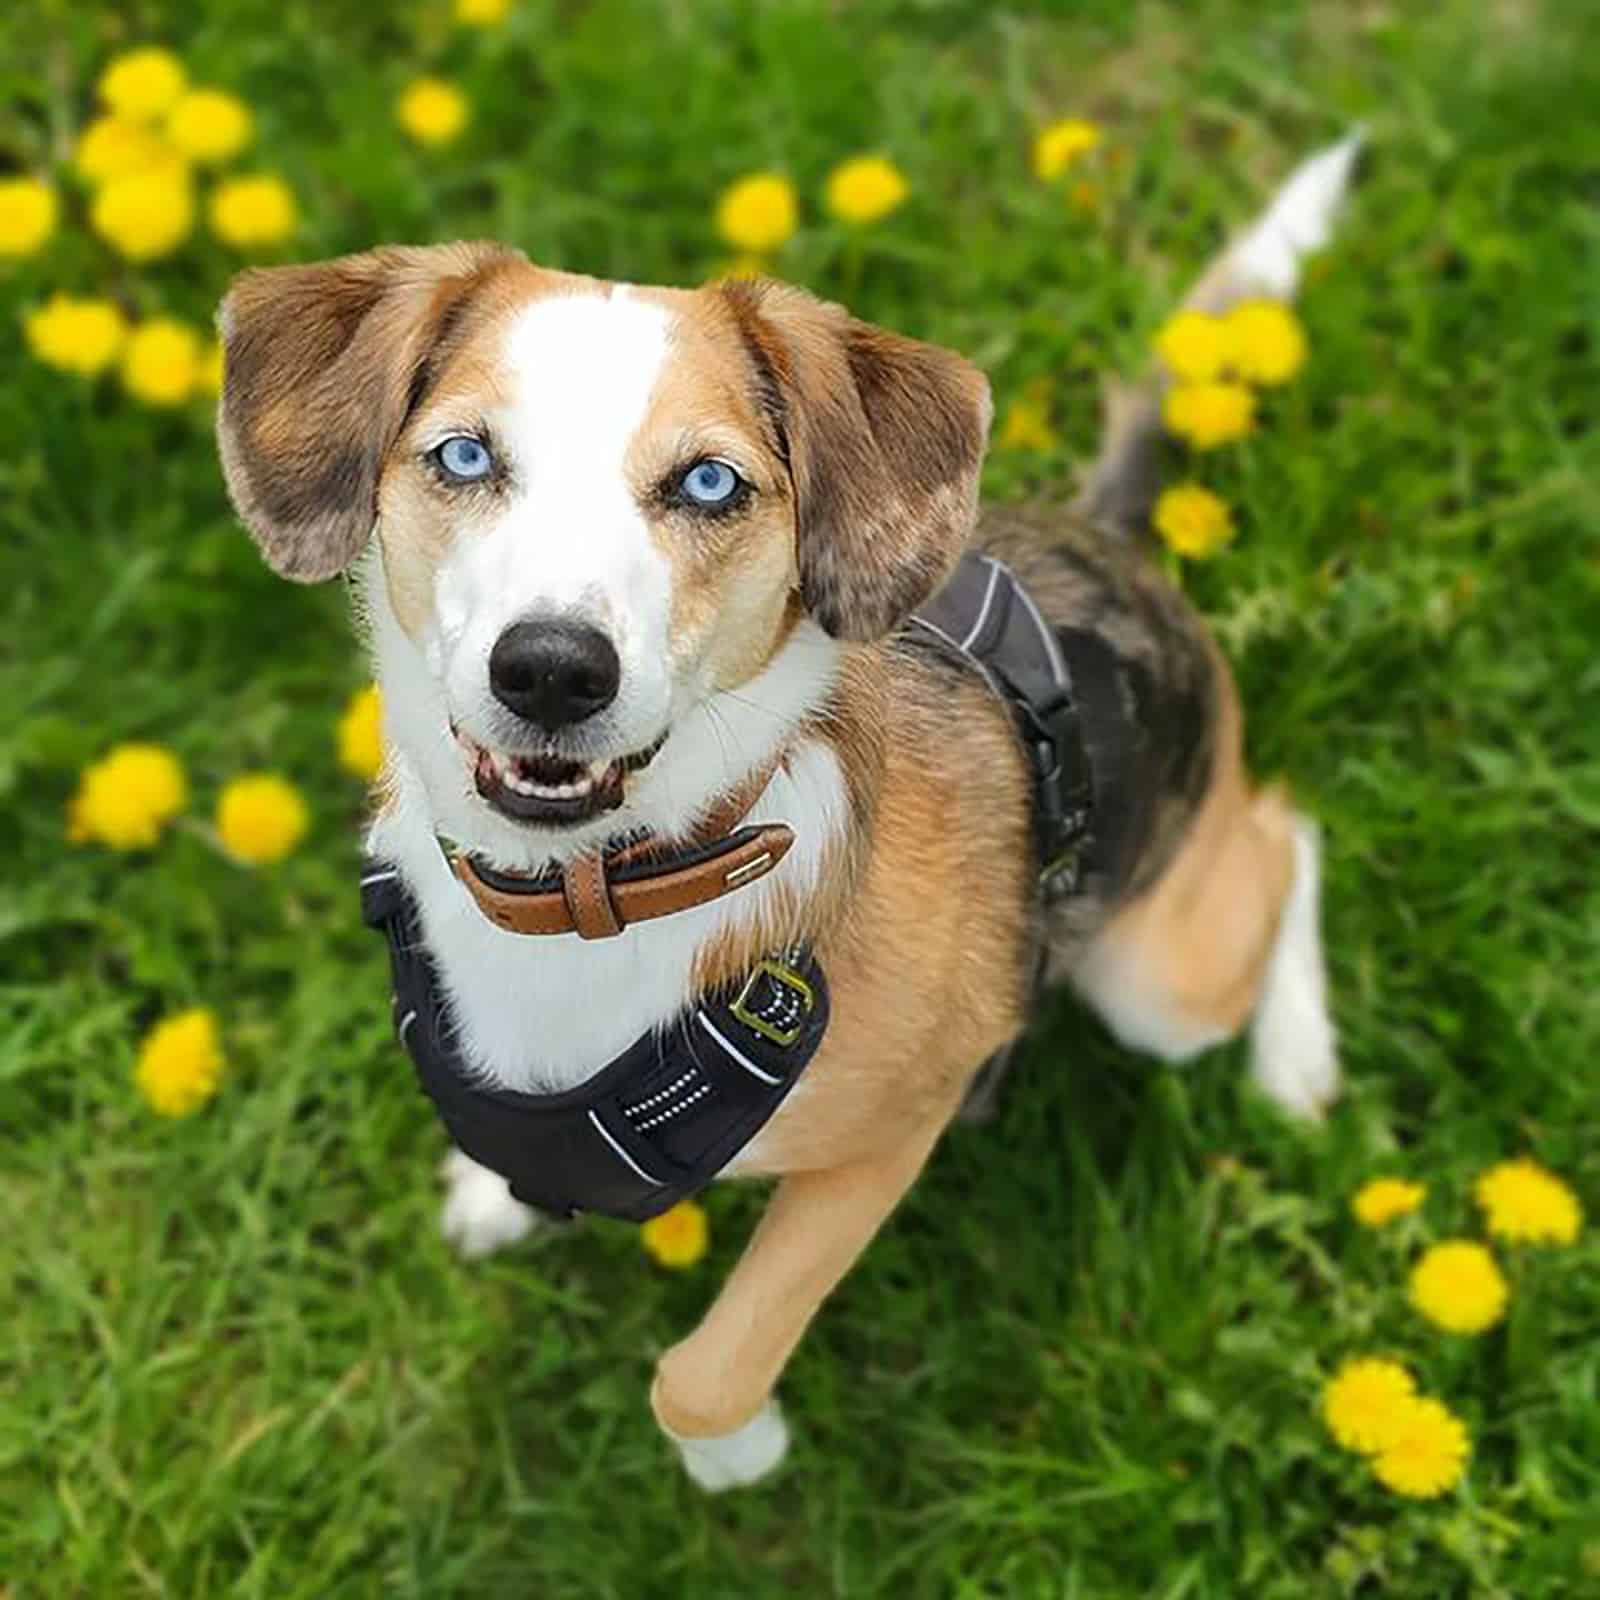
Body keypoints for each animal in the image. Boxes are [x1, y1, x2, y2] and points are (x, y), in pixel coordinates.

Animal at [216, 131, 1350, 1491]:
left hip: (1158, 981)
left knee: (1288, 828)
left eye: (709, 482)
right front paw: (494, 1192)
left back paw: (1296, 1058)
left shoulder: (886, 1139)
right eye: (465, 457)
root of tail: (1107, 539)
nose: (551, 669)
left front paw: (735, 1458)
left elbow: (705, 1368)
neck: (598, 896)